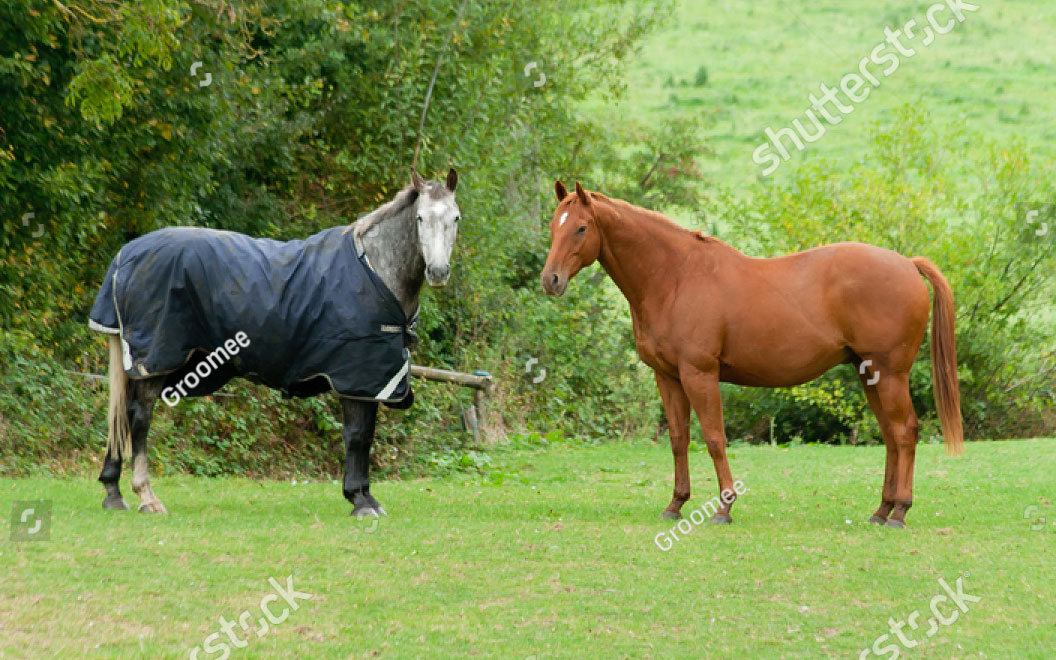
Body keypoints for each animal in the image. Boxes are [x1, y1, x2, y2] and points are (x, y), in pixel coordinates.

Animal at [90, 169, 460, 517]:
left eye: (455, 218)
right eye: (420, 218)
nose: (439, 272)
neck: (375, 269)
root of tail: (126, 255)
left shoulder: (372, 379)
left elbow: (365, 436)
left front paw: (364, 496)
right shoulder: (358, 376)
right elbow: (358, 436)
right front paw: (360, 500)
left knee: (121, 415)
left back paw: (113, 492)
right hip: (157, 360)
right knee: (138, 417)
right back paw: (146, 496)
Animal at [540, 181, 962, 528]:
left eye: (581, 227)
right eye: (553, 226)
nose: (551, 280)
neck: (675, 277)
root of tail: (907, 264)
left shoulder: (699, 374)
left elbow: (714, 439)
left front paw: (724, 507)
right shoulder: (668, 376)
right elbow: (679, 439)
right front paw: (676, 504)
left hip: (889, 374)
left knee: (905, 432)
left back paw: (900, 512)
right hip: (867, 373)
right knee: (891, 436)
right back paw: (882, 510)